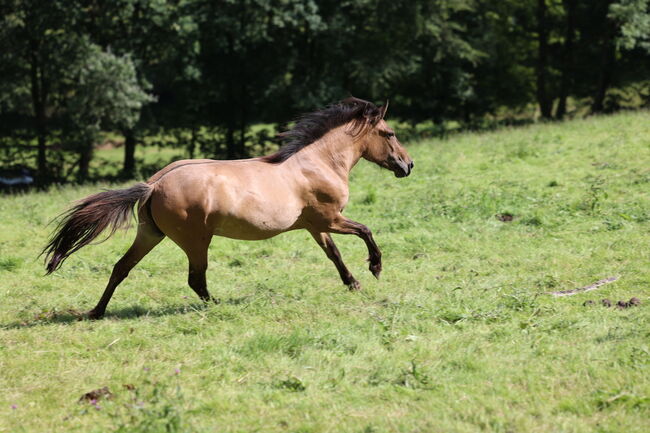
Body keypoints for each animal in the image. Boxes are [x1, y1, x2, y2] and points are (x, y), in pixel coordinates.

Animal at [43, 98, 412, 320]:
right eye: (390, 133)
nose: (408, 165)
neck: (317, 163)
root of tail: (154, 185)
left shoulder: (315, 225)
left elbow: (334, 255)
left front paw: (353, 284)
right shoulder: (331, 218)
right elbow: (366, 231)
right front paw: (375, 268)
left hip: (150, 235)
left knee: (121, 268)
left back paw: (97, 312)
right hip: (195, 240)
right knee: (195, 278)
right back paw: (217, 307)